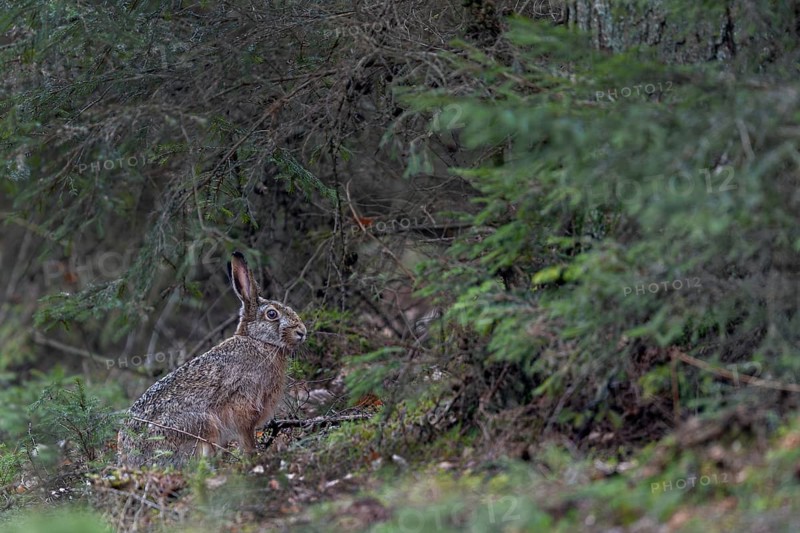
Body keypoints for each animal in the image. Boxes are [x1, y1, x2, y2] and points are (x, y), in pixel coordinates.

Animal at [118, 251, 307, 467]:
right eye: (272, 314)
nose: (302, 332)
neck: (258, 341)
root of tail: (129, 460)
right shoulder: (244, 407)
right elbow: (247, 438)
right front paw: (253, 457)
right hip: (203, 426)